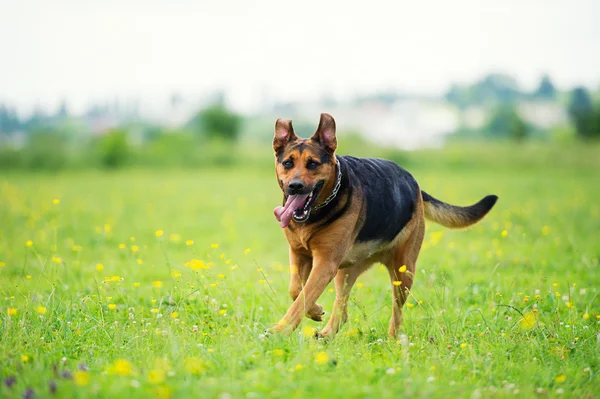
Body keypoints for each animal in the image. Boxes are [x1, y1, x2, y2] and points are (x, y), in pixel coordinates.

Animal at [270, 114, 494, 340]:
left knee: (397, 312)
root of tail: (415, 184)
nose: (295, 186)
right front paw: (314, 311)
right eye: (288, 163)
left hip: (402, 271)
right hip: (347, 270)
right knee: (342, 309)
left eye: (313, 164)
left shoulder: (325, 264)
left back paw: (393, 338)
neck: (316, 212)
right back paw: (326, 335)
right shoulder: (299, 254)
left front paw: (279, 330)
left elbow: (302, 298)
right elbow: (296, 290)